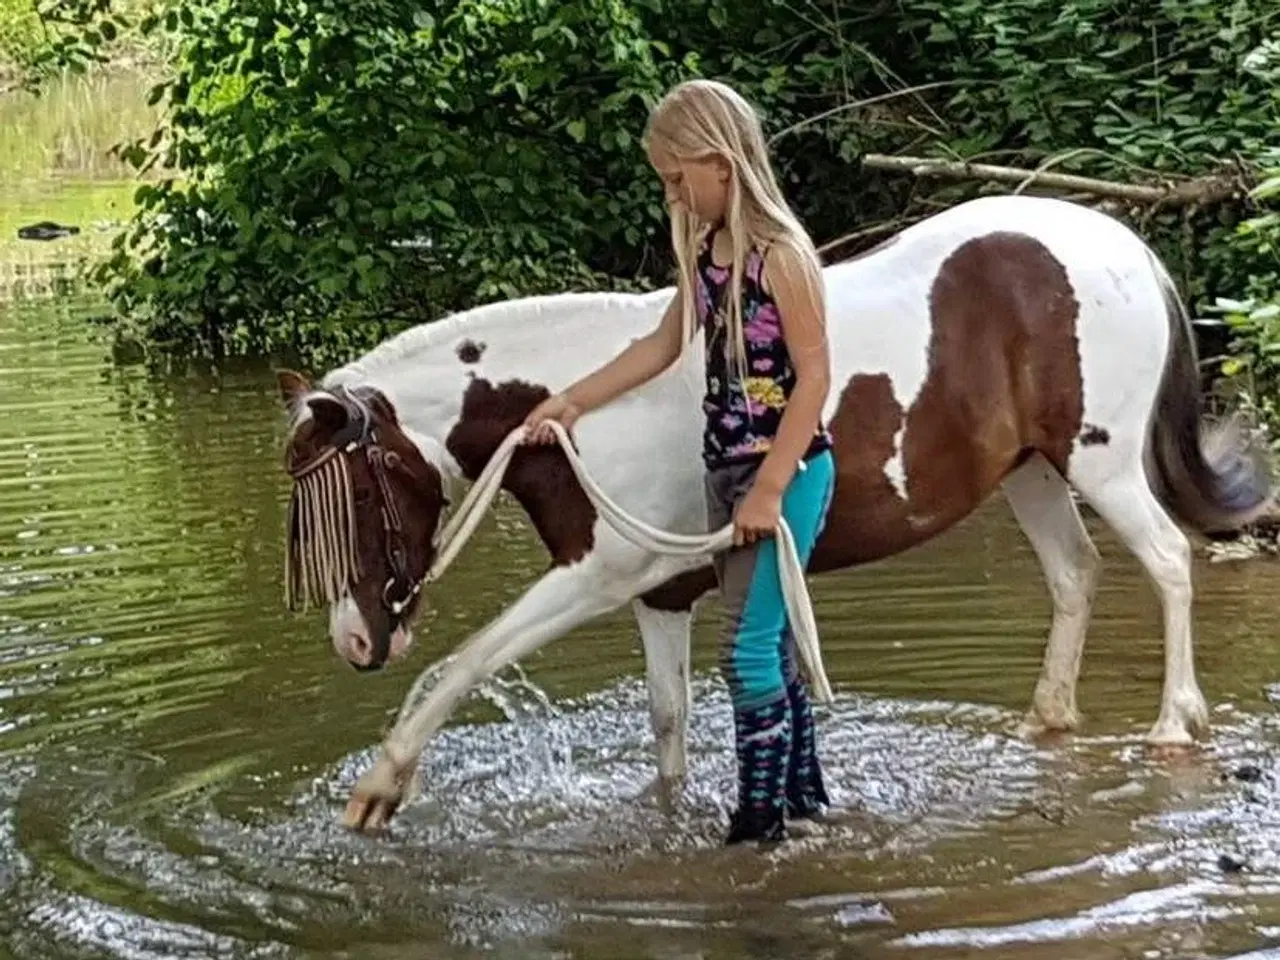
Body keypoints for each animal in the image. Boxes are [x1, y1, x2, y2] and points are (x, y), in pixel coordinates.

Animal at [272, 195, 1269, 834]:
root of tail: (1128, 247)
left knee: (1167, 562)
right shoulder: (661, 594)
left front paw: (378, 790)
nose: (355, 640)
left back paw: (1174, 723)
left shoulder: (596, 578)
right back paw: (1046, 723)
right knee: (1076, 575)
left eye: (349, 496)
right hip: (1030, 472)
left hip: (1101, 462)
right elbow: (669, 730)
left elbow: (463, 663)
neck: (583, 408)